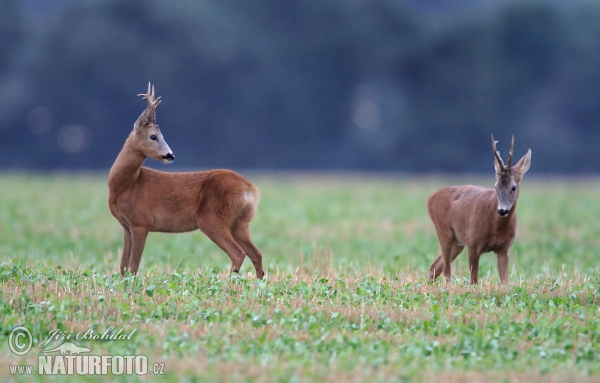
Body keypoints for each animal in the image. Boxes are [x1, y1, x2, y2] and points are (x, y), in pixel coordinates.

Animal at [109, 83, 264, 280]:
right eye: (154, 136)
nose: (170, 155)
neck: (125, 185)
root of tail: (250, 189)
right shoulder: (126, 226)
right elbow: (122, 266)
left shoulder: (141, 223)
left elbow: (133, 266)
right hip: (240, 222)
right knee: (256, 253)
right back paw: (258, 283)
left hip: (212, 218)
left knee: (238, 253)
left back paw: (229, 281)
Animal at [428, 135, 532, 284]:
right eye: (495, 186)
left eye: (513, 187)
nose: (502, 210)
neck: (496, 229)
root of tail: (430, 199)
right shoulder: (472, 243)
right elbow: (474, 281)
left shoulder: (504, 248)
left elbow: (505, 282)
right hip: (444, 231)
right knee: (447, 271)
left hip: (458, 241)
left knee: (435, 266)